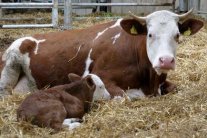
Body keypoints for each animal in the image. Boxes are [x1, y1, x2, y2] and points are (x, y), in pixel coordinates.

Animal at [0, 9, 204, 99]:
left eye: (177, 35)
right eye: (150, 34)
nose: (166, 61)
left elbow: (174, 87)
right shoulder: (101, 76)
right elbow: (123, 96)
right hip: (9, 65)